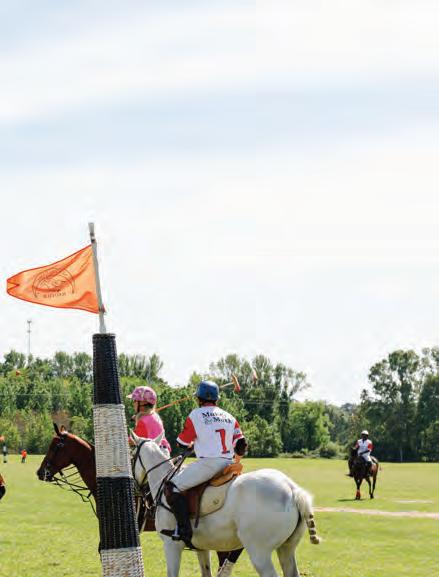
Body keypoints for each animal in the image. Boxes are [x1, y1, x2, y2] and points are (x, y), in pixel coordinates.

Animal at [132, 431, 320, 577]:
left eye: (132, 455)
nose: (136, 489)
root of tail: (292, 489)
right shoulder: (202, 548)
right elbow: (206, 572)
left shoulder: (171, 545)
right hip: (287, 548)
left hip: (259, 552)